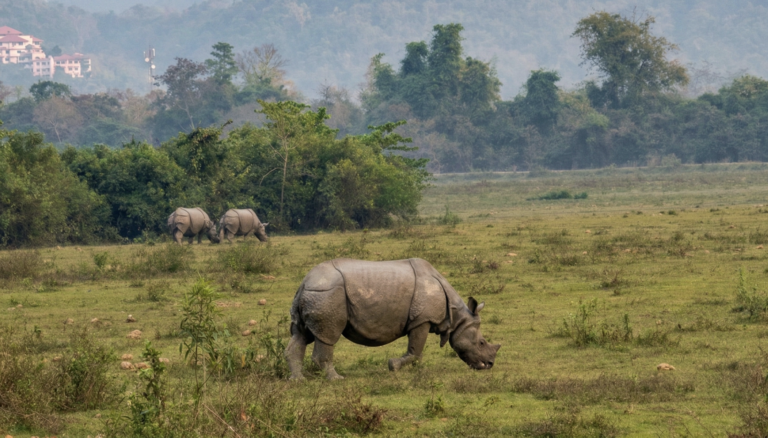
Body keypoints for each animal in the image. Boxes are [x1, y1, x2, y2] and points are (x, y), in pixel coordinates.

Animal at [285, 258, 500, 380]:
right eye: (481, 343)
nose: (490, 365)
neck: (456, 316)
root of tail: (305, 282)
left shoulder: (422, 320)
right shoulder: (422, 319)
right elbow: (415, 351)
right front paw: (393, 366)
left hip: (315, 294)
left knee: (301, 335)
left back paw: (297, 380)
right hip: (328, 294)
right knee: (328, 335)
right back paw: (336, 379)